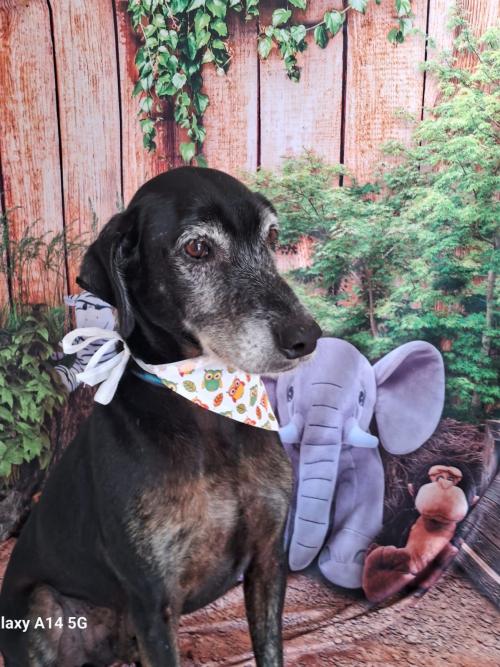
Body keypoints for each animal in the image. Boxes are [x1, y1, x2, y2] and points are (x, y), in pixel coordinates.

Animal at [0, 167, 321, 666]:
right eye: (197, 248)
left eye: (271, 236)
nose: (306, 337)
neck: (208, 409)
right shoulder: (153, 600)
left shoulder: (269, 561)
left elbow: (271, 651)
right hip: (42, 608)